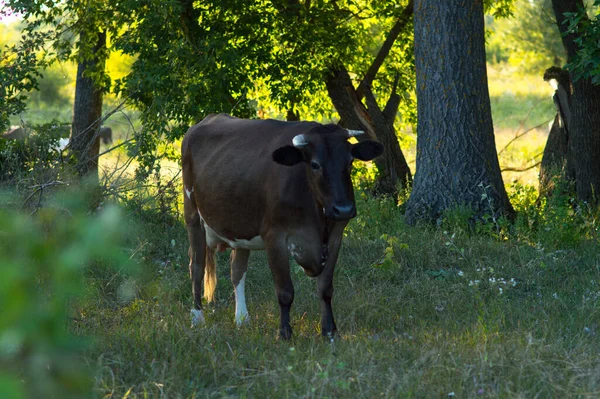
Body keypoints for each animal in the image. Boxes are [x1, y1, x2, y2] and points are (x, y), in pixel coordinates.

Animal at [180, 113, 382, 340]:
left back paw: (242, 319)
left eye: (349, 162)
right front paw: (284, 333)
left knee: (237, 270)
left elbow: (325, 288)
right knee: (196, 265)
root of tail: (207, 119)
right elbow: (285, 291)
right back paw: (197, 317)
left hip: (240, 226)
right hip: (192, 214)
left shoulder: (336, 236)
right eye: (315, 164)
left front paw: (330, 331)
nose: (344, 209)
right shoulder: (274, 235)